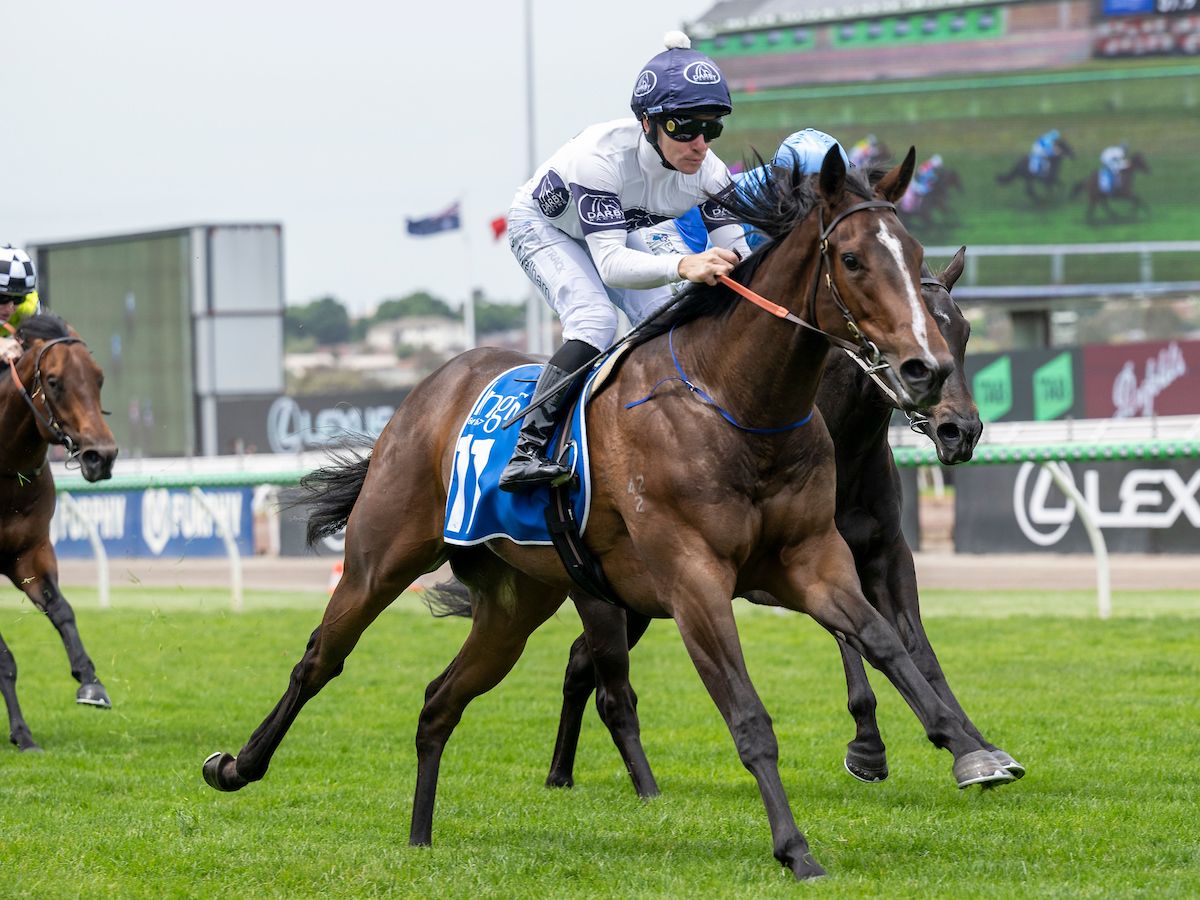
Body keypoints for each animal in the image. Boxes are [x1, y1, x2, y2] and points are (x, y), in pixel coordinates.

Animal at [0, 314, 118, 752]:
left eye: (99, 378)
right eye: (53, 381)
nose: (102, 456)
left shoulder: (29, 554)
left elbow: (63, 610)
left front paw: (90, 683)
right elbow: (3, 658)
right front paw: (21, 733)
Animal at [542, 247, 1024, 801]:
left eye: (963, 332)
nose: (959, 430)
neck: (842, 442)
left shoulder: (886, 554)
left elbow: (916, 649)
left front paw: (979, 745)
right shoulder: (803, 563)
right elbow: (853, 644)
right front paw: (868, 748)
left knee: (580, 662)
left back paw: (560, 772)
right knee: (589, 664)